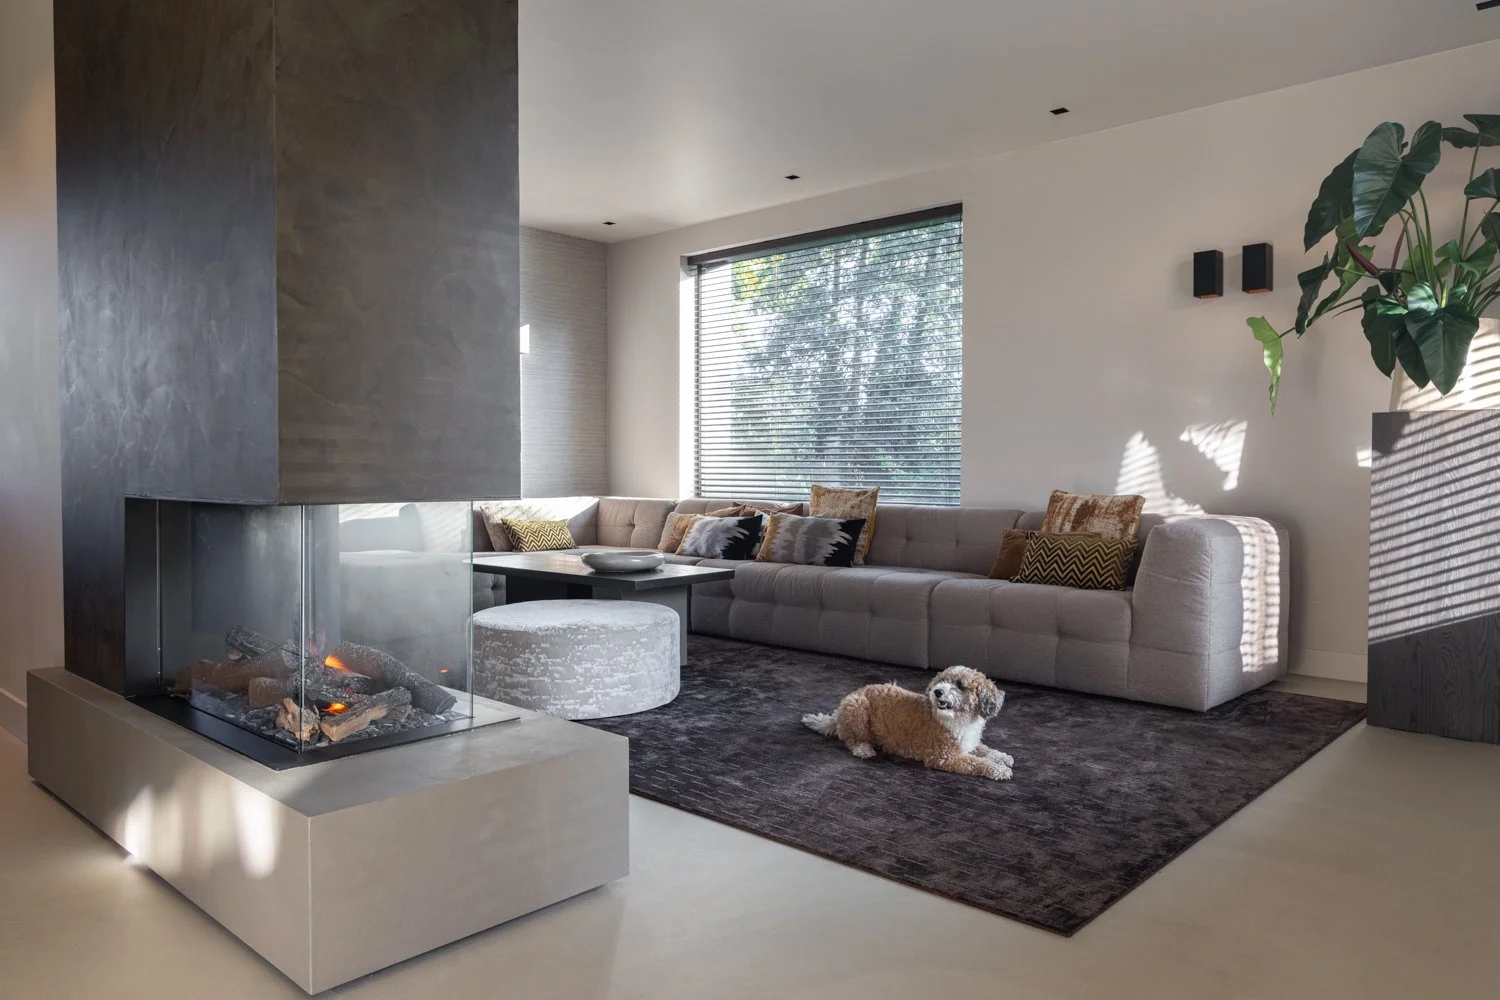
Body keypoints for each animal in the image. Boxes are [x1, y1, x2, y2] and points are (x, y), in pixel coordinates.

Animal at [802, 666, 1012, 780]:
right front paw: (999, 769)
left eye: (960, 685)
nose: (937, 692)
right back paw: (864, 749)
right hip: (857, 709)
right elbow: (977, 762)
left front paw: (1003, 757)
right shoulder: (944, 757)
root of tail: (837, 714)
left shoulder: (968, 744)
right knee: (852, 739)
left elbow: (985, 750)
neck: (958, 719)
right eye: (942, 680)